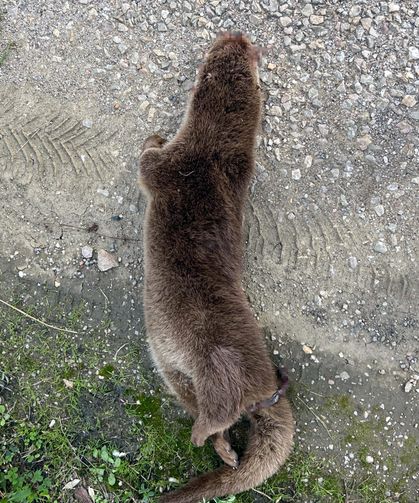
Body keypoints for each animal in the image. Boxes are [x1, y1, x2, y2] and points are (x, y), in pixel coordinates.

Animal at [139, 32, 296, 503]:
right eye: (229, 48)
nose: (237, 35)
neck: (207, 154)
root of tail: (263, 384)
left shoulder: (164, 167)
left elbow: (145, 163)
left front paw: (152, 135)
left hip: (216, 367)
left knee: (220, 412)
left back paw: (203, 438)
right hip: (173, 370)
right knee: (208, 415)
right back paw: (224, 452)